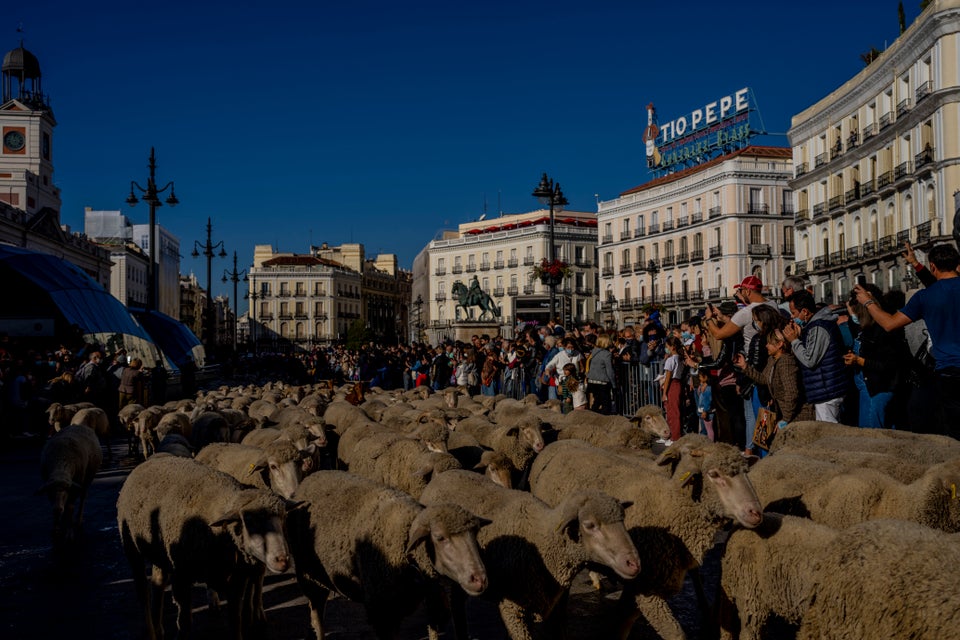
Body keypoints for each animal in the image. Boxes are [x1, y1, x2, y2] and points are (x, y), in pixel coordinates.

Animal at [115, 456, 292, 640]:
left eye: (283, 519)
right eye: (249, 521)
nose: (282, 560)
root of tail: (147, 461)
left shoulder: (237, 580)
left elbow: (236, 620)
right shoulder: (182, 576)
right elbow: (185, 622)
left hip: (161, 555)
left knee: (158, 584)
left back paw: (158, 628)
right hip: (131, 548)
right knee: (143, 593)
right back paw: (151, 632)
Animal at [284, 470, 488, 640]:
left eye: (475, 533)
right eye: (440, 537)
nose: (480, 579)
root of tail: (308, 479)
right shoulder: (382, 611)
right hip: (308, 575)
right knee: (317, 614)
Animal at [418, 464, 636, 640]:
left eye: (623, 518)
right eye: (590, 525)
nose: (634, 563)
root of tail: (441, 477)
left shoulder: (555, 607)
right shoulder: (513, 609)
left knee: (457, 604)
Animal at [528, 440, 760, 640]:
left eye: (746, 472)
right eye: (713, 474)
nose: (756, 512)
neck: (672, 507)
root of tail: (557, 447)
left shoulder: (639, 587)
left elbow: (620, 625)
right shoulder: (647, 589)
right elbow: (675, 634)